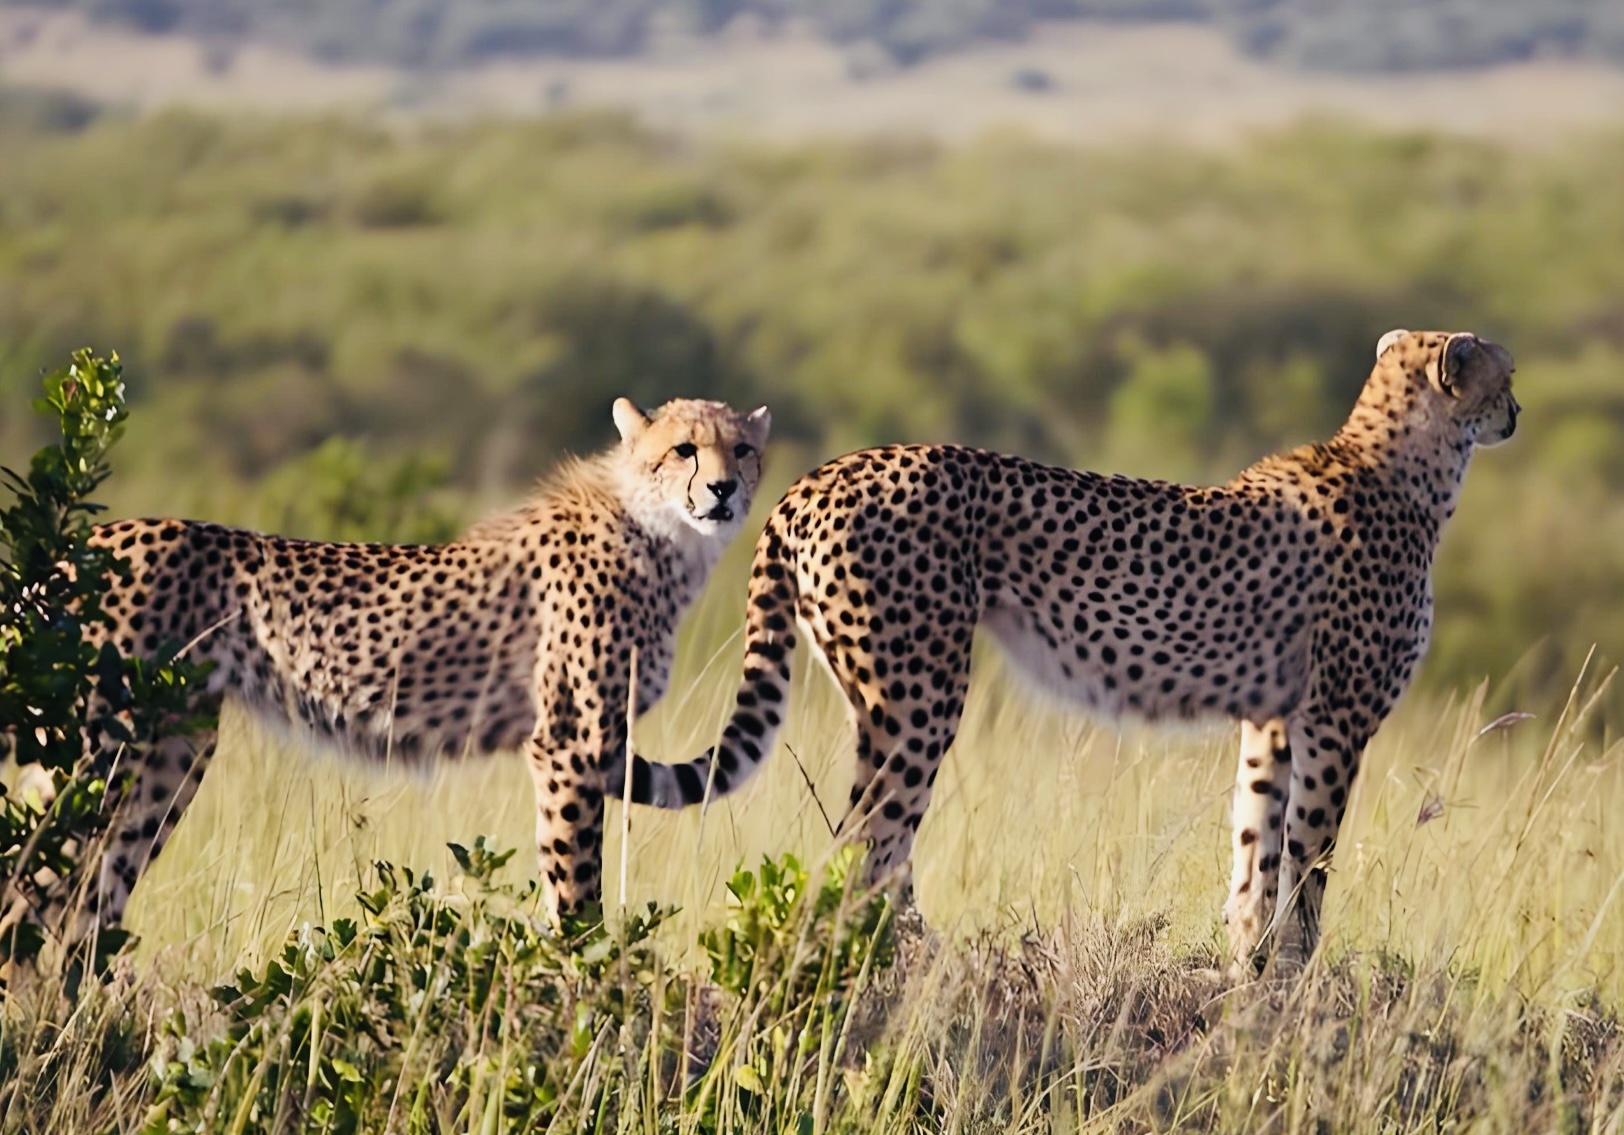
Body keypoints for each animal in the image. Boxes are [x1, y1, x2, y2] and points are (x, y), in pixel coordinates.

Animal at [69, 399, 766, 935]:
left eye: (742, 449)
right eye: (684, 449)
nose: (723, 488)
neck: (660, 532)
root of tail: (95, 538)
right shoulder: (569, 743)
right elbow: (574, 878)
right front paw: (586, 972)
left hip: (171, 752)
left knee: (86, 901)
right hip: (103, 750)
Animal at [626, 332, 1513, 974]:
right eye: (1503, 375)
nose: (1519, 410)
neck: (1400, 463)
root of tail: (814, 477)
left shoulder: (1273, 720)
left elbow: (1255, 845)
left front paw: (1251, 965)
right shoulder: (1337, 720)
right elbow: (1310, 857)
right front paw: (1297, 972)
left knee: (865, 840)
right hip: (919, 690)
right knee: (870, 840)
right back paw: (924, 963)